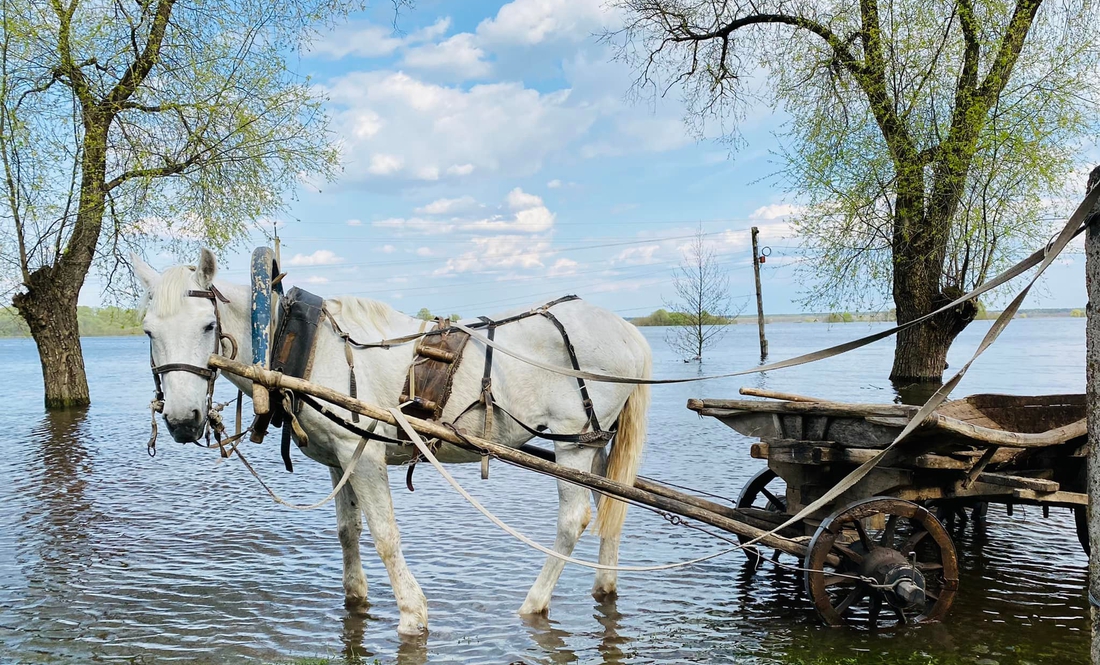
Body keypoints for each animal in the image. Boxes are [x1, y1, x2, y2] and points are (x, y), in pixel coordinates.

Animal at [137, 248, 651, 633]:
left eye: (208, 326)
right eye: (148, 331)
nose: (182, 420)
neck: (298, 341)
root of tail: (627, 330)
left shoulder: (362, 453)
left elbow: (385, 535)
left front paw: (411, 613)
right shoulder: (337, 458)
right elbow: (348, 531)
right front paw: (356, 596)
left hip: (573, 443)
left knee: (574, 520)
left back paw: (534, 602)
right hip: (596, 443)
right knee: (612, 507)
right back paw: (605, 585)